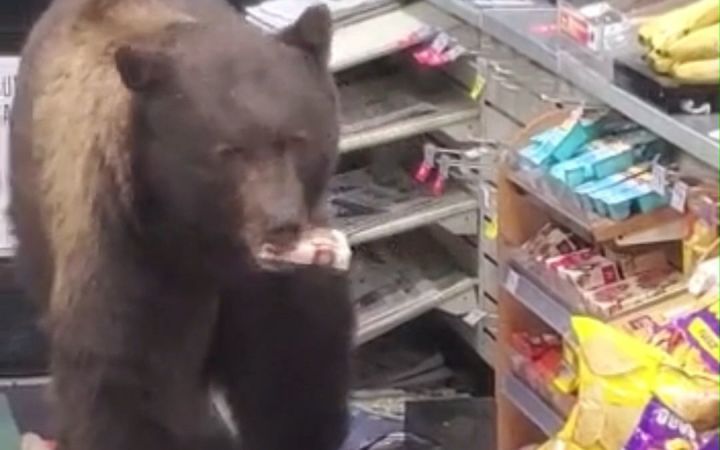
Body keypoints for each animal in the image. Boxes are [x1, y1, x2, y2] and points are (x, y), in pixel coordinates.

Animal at [9, 1, 355, 450]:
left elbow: (292, 369)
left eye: (295, 139)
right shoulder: (129, 256)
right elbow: (128, 384)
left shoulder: (273, 292)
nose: (282, 222)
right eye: (230, 151)